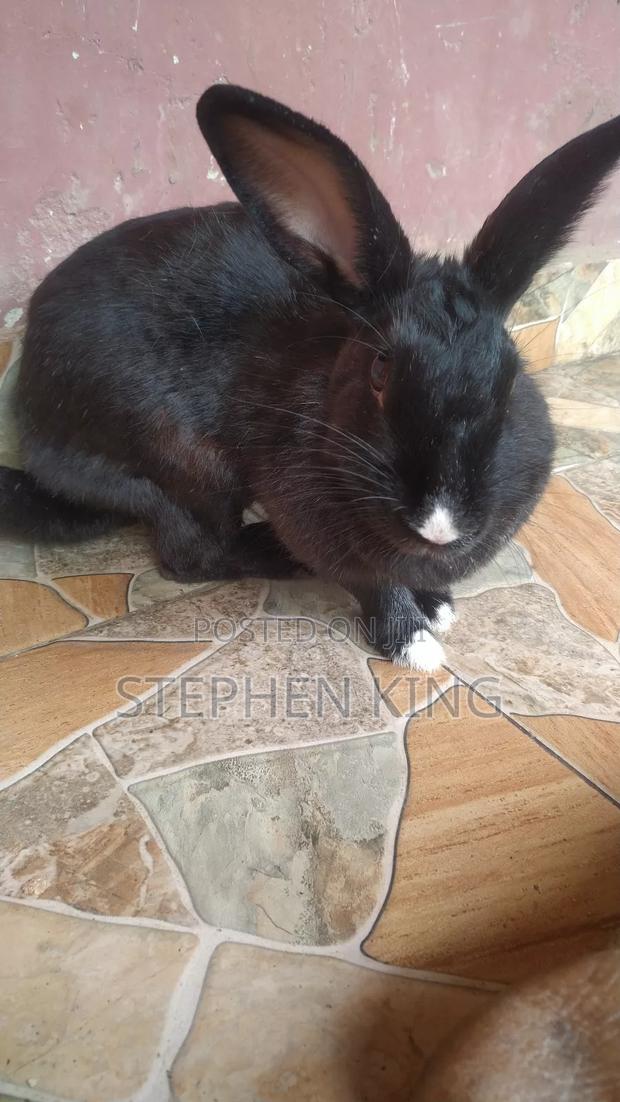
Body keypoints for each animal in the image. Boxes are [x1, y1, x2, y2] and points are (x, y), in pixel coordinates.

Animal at [2, 84, 620, 671]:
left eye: (510, 376)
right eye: (380, 370)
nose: (440, 525)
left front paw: (438, 604)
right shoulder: (325, 534)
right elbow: (375, 585)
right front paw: (413, 643)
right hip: (186, 469)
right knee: (193, 554)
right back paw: (276, 555)